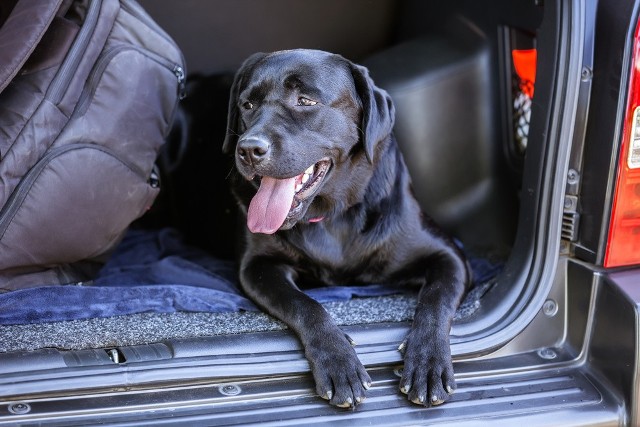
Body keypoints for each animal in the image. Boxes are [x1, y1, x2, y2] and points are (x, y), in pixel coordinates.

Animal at [221, 48, 470, 410]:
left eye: (305, 101)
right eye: (247, 104)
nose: (249, 149)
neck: (332, 214)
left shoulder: (449, 255)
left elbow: (436, 298)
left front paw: (428, 362)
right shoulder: (257, 266)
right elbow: (306, 304)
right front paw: (339, 362)